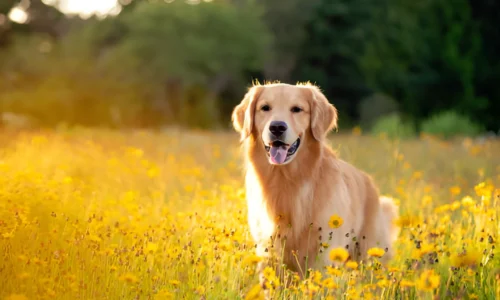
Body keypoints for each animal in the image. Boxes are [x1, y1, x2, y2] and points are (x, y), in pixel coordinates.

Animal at [232, 82, 400, 284]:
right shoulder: (267, 249)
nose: (277, 127)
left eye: (297, 109)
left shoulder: (324, 252)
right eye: (265, 108)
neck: (288, 181)